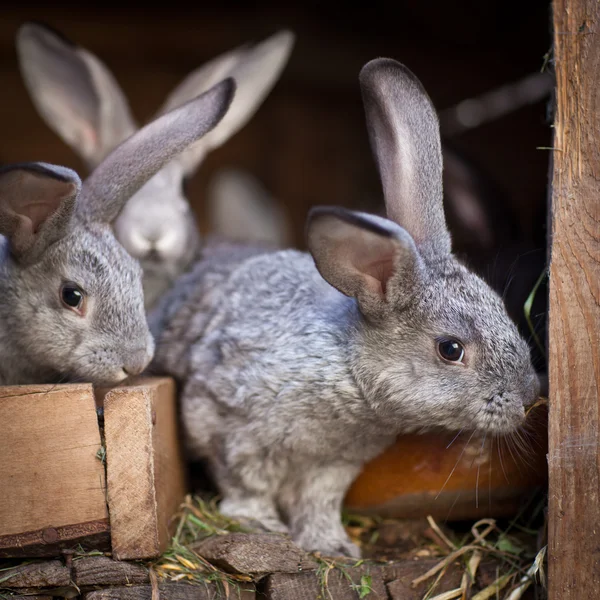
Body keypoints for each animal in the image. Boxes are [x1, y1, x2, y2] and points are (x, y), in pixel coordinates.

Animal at [149, 57, 540, 556]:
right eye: (450, 349)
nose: (529, 395)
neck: (349, 367)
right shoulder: (231, 431)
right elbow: (246, 485)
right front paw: (260, 525)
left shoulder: (331, 467)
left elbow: (317, 503)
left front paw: (331, 545)